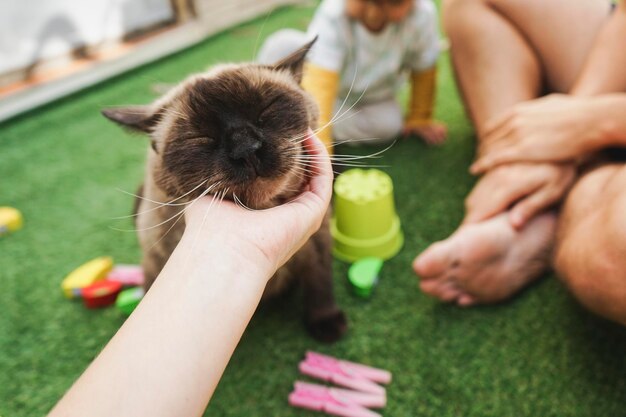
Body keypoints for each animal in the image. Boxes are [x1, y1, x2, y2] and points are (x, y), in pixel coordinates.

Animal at [101, 39, 346, 342]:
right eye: (201, 138)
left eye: (266, 111)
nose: (246, 149)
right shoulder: (155, 262)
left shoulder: (318, 240)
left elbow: (320, 281)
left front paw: (326, 323)